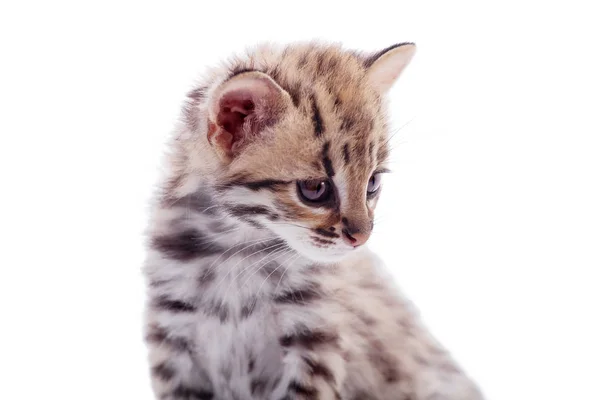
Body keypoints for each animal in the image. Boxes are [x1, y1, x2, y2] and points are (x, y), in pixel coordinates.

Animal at [144, 41, 482, 400]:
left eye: (373, 182)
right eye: (315, 189)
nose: (361, 238)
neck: (236, 252)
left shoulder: (315, 339)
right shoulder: (172, 338)